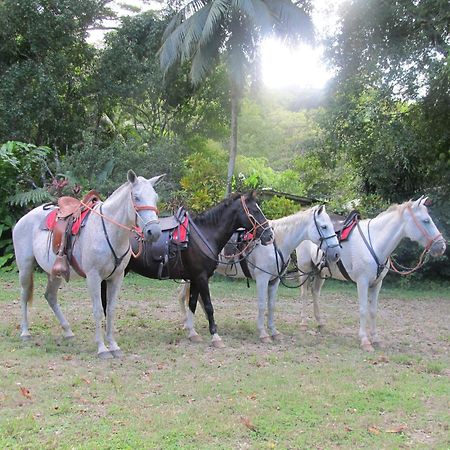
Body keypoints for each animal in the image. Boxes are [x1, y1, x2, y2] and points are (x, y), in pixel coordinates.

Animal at [12, 170, 165, 358]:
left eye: (155, 197)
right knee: (24, 295)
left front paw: (113, 346)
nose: (154, 232)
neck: (109, 231)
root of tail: (22, 220)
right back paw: (25, 333)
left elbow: (111, 310)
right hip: (25, 267)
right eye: (136, 197)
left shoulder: (116, 277)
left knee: (50, 296)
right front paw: (102, 349)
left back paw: (68, 331)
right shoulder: (93, 277)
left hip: (55, 272)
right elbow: (98, 310)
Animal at [102, 192, 272, 346]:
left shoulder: (195, 278)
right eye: (255, 211)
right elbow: (208, 306)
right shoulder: (202, 277)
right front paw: (215, 337)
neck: (205, 234)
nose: (269, 235)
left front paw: (192, 333)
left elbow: (192, 303)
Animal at [178, 206, 340, 342]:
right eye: (324, 226)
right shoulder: (263, 278)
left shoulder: (275, 281)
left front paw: (274, 332)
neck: (276, 243)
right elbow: (262, 304)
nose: (337, 253)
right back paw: (187, 325)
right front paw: (263, 334)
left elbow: (271, 305)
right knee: (182, 296)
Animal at [296, 197, 446, 352]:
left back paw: (320, 322)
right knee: (304, 293)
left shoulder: (377, 284)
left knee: (315, 293)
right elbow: (363, 309)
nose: (441, 246)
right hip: (304, 269)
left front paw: (376, 339)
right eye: (426, 220)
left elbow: (373, 310)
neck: (374, 241)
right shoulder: (362, 282)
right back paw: (303, 323)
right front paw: (365, 341)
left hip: (320, 272)